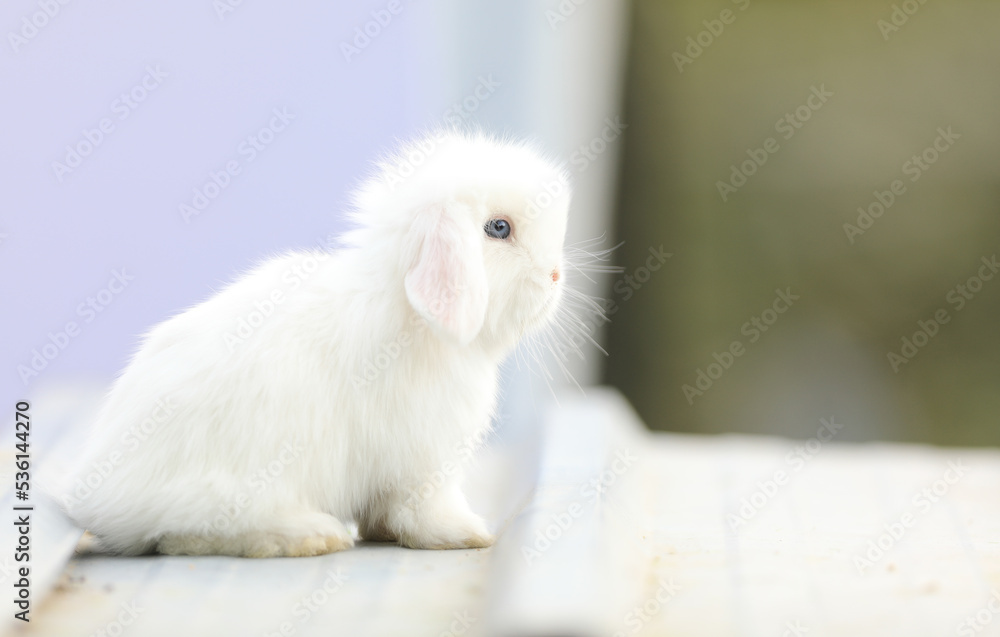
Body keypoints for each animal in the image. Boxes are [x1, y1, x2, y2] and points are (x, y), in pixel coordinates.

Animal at [59, 131, 571, 557]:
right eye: (499, 228)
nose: (555, 276)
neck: (409, 314)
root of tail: (99, 498)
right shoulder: (425, 462)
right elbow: (425, 509)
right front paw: (467, 534)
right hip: (235, 489)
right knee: (191, 534)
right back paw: (312, 536)